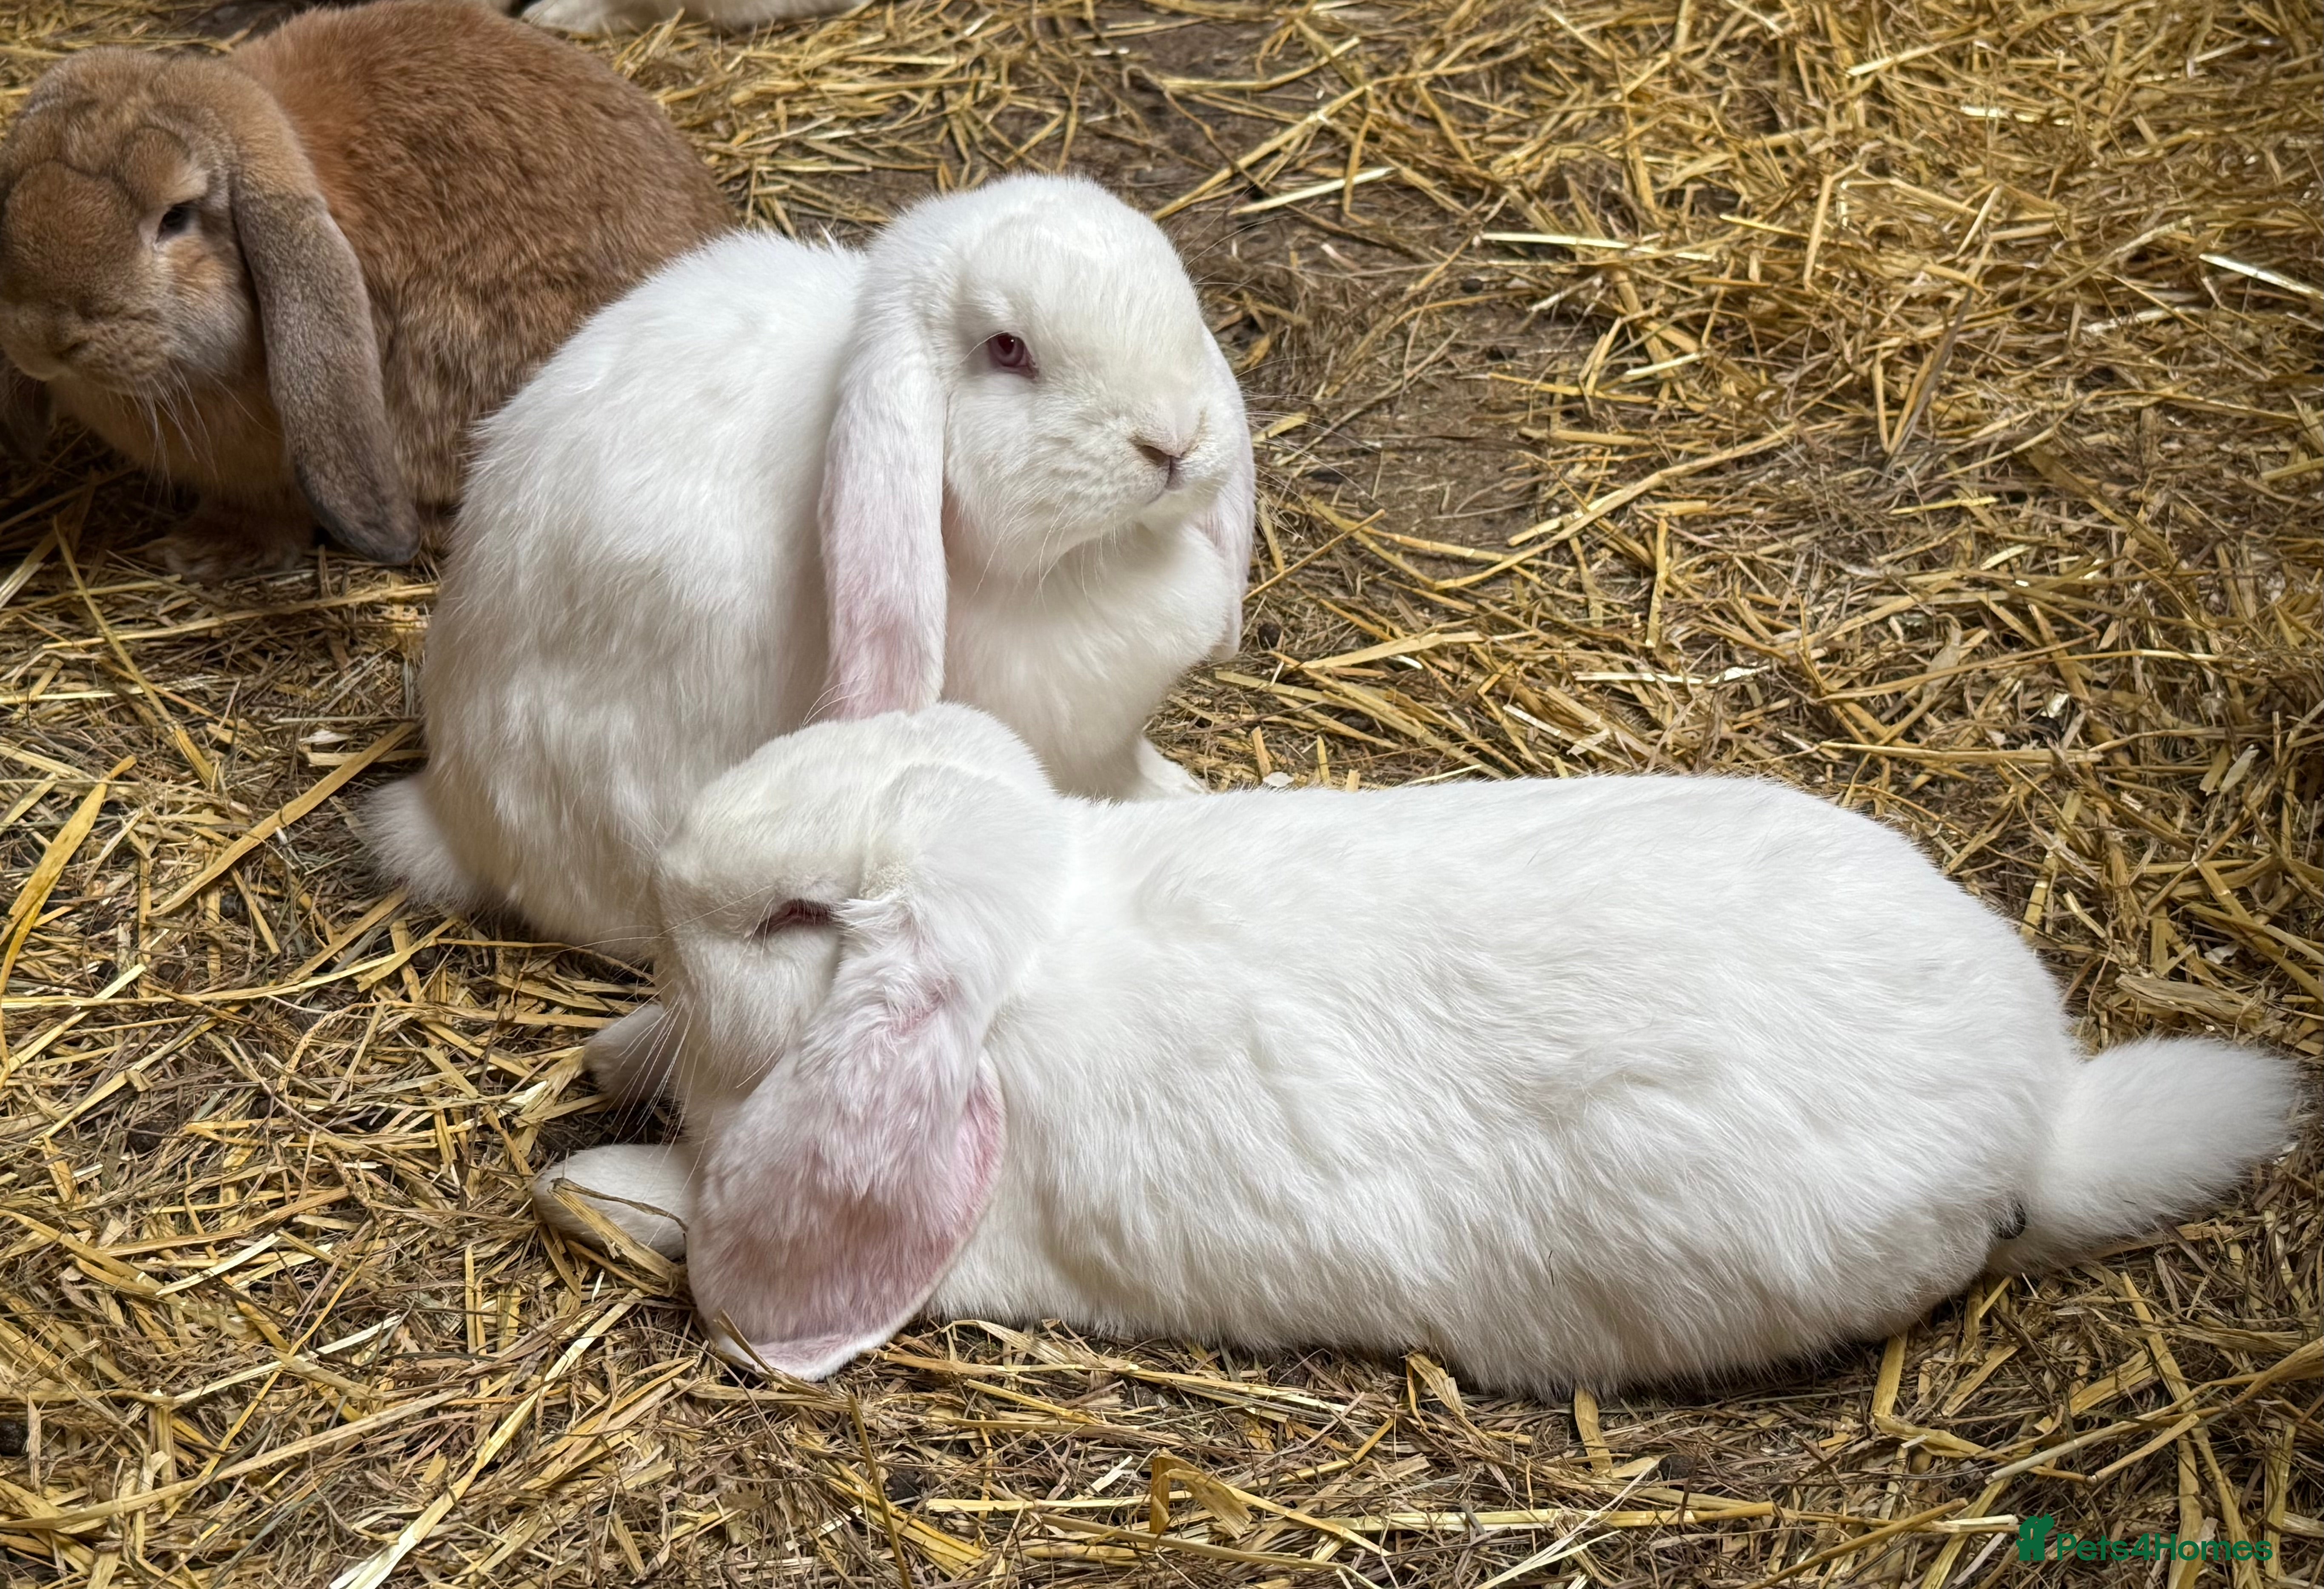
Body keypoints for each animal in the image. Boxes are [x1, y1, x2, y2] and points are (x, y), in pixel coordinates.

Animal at [530, 705, 2301, 1393]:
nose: (670, 867)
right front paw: (615, 1048)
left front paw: (594, 1176)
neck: (1044, 945)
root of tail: (2043, 1109)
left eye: (794, 919)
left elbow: (696, 1200)